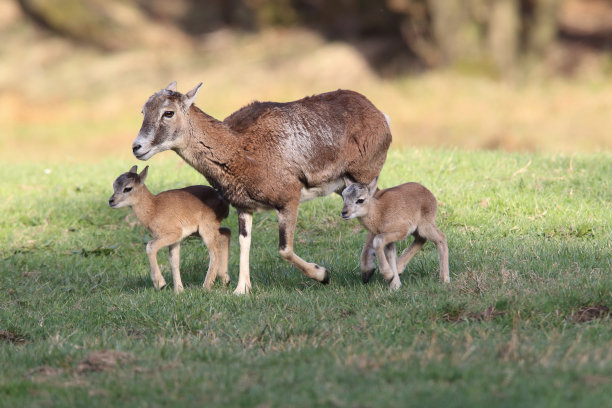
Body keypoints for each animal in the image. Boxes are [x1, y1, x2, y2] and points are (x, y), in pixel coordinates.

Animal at [107, 165, 232, 294]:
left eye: (128, 188)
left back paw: (206, 287)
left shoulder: (174, 233)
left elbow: (150, 246)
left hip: (206, 227)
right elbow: (174, 261)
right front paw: (179, 291)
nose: (111, 201)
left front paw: (160, 284)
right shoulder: (175, 240)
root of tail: (225, 204)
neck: (154, 209)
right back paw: (225, 279)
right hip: (200, 230)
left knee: (215, 251)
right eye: (114, 185)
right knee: (226, 232)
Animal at [133, 82, 392, 294]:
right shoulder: (244, 207)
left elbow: (284, 249)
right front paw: (241, 289)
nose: (137, 147)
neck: (238, 148)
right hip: (343, 187)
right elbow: (244, 243)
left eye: (168, 112)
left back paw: (377, 272)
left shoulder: (288, 200)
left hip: (364, 177)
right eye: (143, 111)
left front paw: (323, 275)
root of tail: (381, 115)